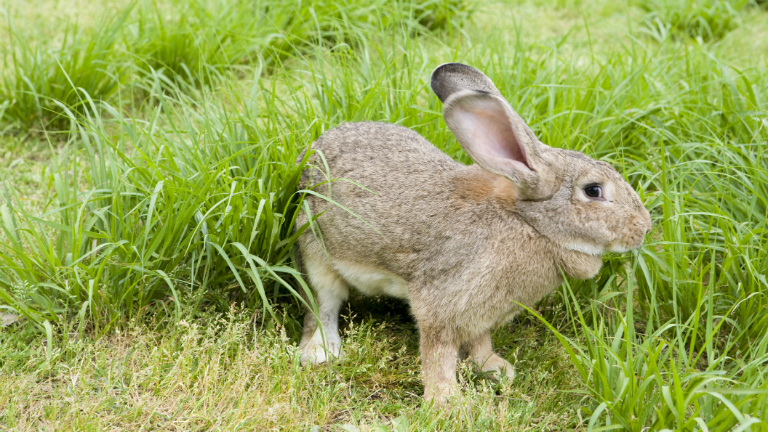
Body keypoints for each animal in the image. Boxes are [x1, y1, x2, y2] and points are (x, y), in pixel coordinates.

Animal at [292, 62, 648, 404]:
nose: (643, 228)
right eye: (593, 190)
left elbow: (479, 341)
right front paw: (446, 401)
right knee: (321, 305)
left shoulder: (481, 312)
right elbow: (438, 352)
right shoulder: (442, 303)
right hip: (315, 253)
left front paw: (494, 369)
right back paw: (320, 352)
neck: (528, 223)